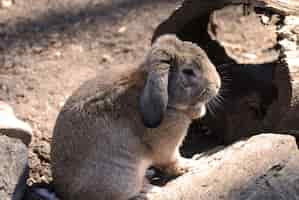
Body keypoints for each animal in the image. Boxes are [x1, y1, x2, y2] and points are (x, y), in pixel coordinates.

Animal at [50, 34, 221, 200]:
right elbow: (171, 161)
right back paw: (149, 191)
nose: (217, 85)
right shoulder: (168, 148)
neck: (169, 104)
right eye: (188, 71)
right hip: (124, 176)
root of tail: (63, 193)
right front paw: (191, 165)